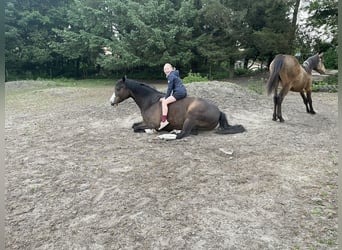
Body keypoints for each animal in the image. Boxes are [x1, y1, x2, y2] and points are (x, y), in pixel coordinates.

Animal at [109, 76, 246, 139]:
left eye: (118, 88)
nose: (111, 102)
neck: (150, 102)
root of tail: (218, 111)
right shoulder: (144, 121)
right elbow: (134, 126)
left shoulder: (153, 124)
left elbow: (137, 128)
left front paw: (152, 131)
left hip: (191, 115)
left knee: (182, 134)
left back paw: (167, 135)